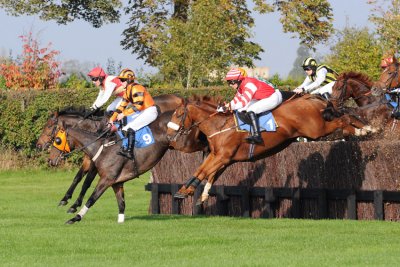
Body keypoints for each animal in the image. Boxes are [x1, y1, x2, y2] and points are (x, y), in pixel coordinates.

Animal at [166, 95, 372, 202]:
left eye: (178, 114)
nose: (168, 135)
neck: (220, 125)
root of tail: (311, 97)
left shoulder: (222, 156)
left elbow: (202, 171)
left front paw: (184, 191)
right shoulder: (221, 157)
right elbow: (206, 172)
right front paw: (197, 193)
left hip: (316, 130)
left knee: (344, 118)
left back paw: (365, 129)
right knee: (345, 116)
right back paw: (367, 128)